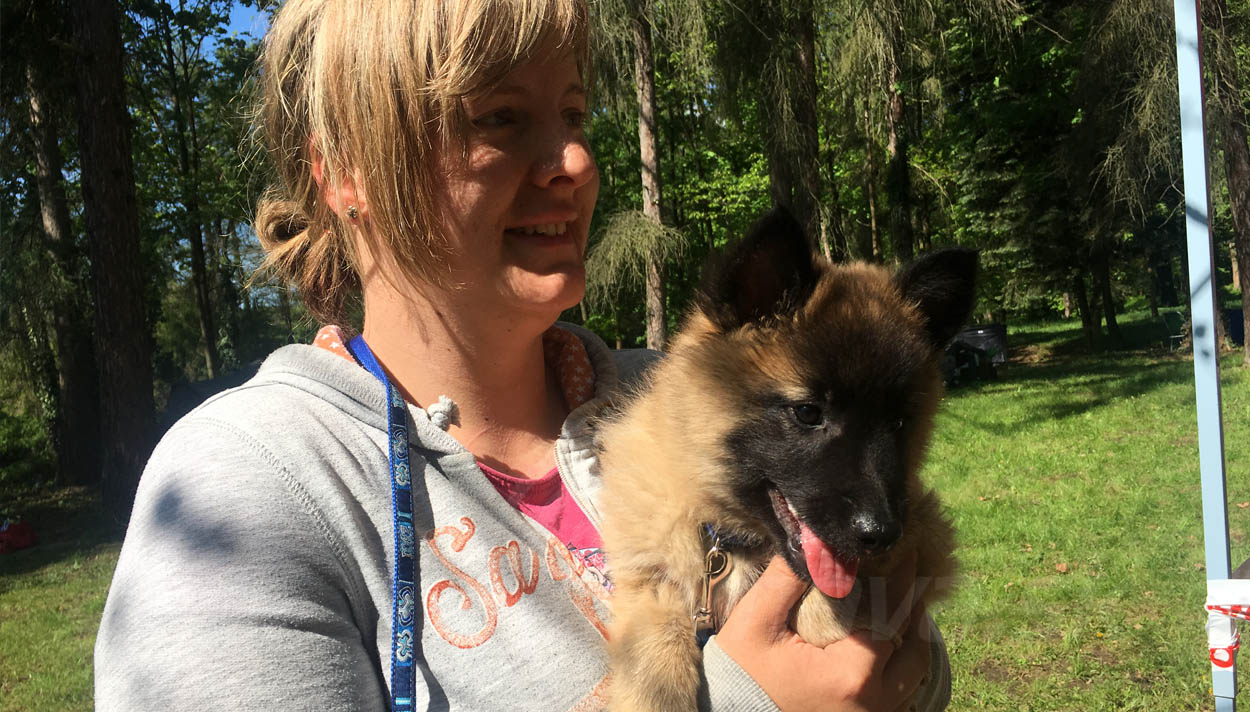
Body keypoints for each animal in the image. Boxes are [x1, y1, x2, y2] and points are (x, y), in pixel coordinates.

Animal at [597, 208, 975, 712]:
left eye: (898, 423)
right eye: (808, 412)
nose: (879, 534)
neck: (736, 542)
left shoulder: (918, 541)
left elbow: (832, 614)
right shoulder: (649, 590)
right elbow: (651, 669)